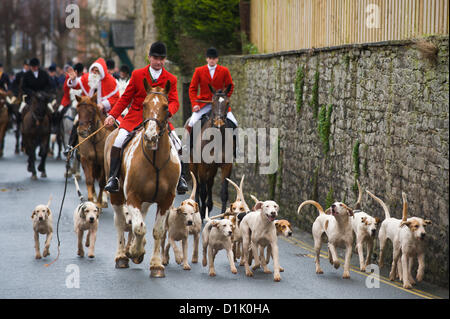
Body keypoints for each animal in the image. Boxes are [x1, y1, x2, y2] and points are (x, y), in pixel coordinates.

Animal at [104, 78, 180, 278]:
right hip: (117, 196)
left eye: (166, 106)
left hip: (146, 201)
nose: (150, 136)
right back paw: (122, 255)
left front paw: (156, 265)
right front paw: (135, 252)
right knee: (121, 222)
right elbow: (138, 227)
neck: (155, 159)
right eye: (144, 105)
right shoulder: (132, 196)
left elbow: (157, 231)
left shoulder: (166, 200)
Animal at [189, 85, 234, 220]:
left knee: (209, 183)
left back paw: (209, 205)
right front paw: (202, 213)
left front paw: (224, 216)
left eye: (227, 102)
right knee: (198, 185)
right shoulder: (203, 165)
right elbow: (202, 191)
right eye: (213, 102)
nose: (219, 123)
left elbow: (224, 193)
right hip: (193, 164)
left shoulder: (226, 166)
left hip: (213, 167)